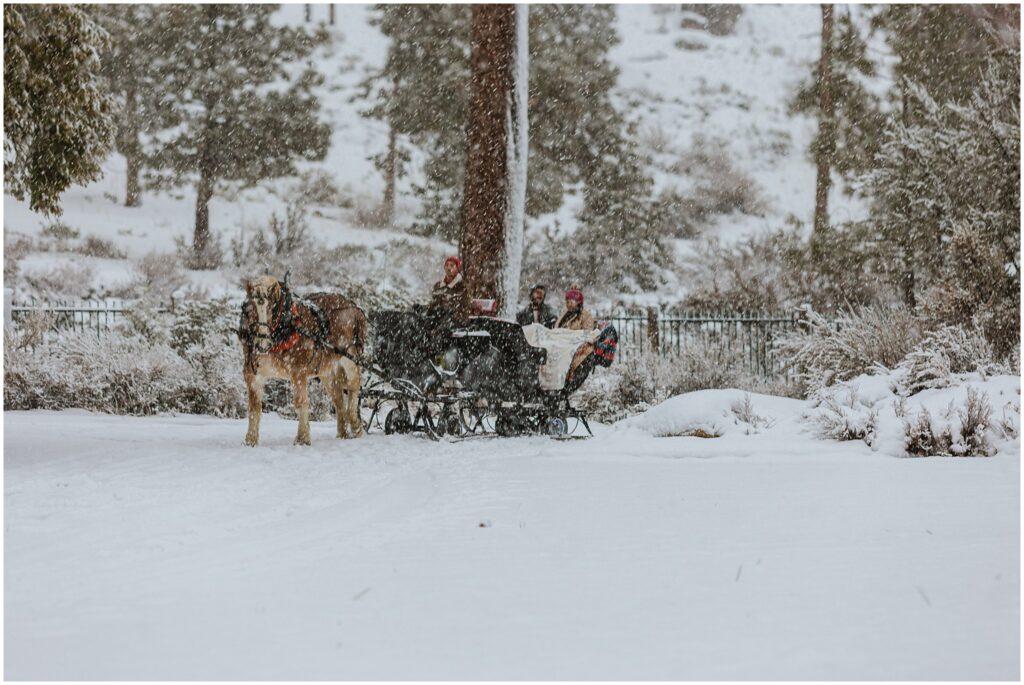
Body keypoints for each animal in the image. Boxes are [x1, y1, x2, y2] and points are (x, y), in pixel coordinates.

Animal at [238, 274, 368, 446]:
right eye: (248, 309)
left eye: (271, 309)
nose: (262, 343)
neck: (285, 327)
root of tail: (352, 306)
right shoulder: (253, 374)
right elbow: (254, 408)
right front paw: (250, 441)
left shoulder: (298, 372)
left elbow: (301, 403)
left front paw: (302, 438)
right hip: (327, 370)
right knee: (338, 398)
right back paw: (342, 433)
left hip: (350, 358)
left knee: (354, 387)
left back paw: (356, 425)